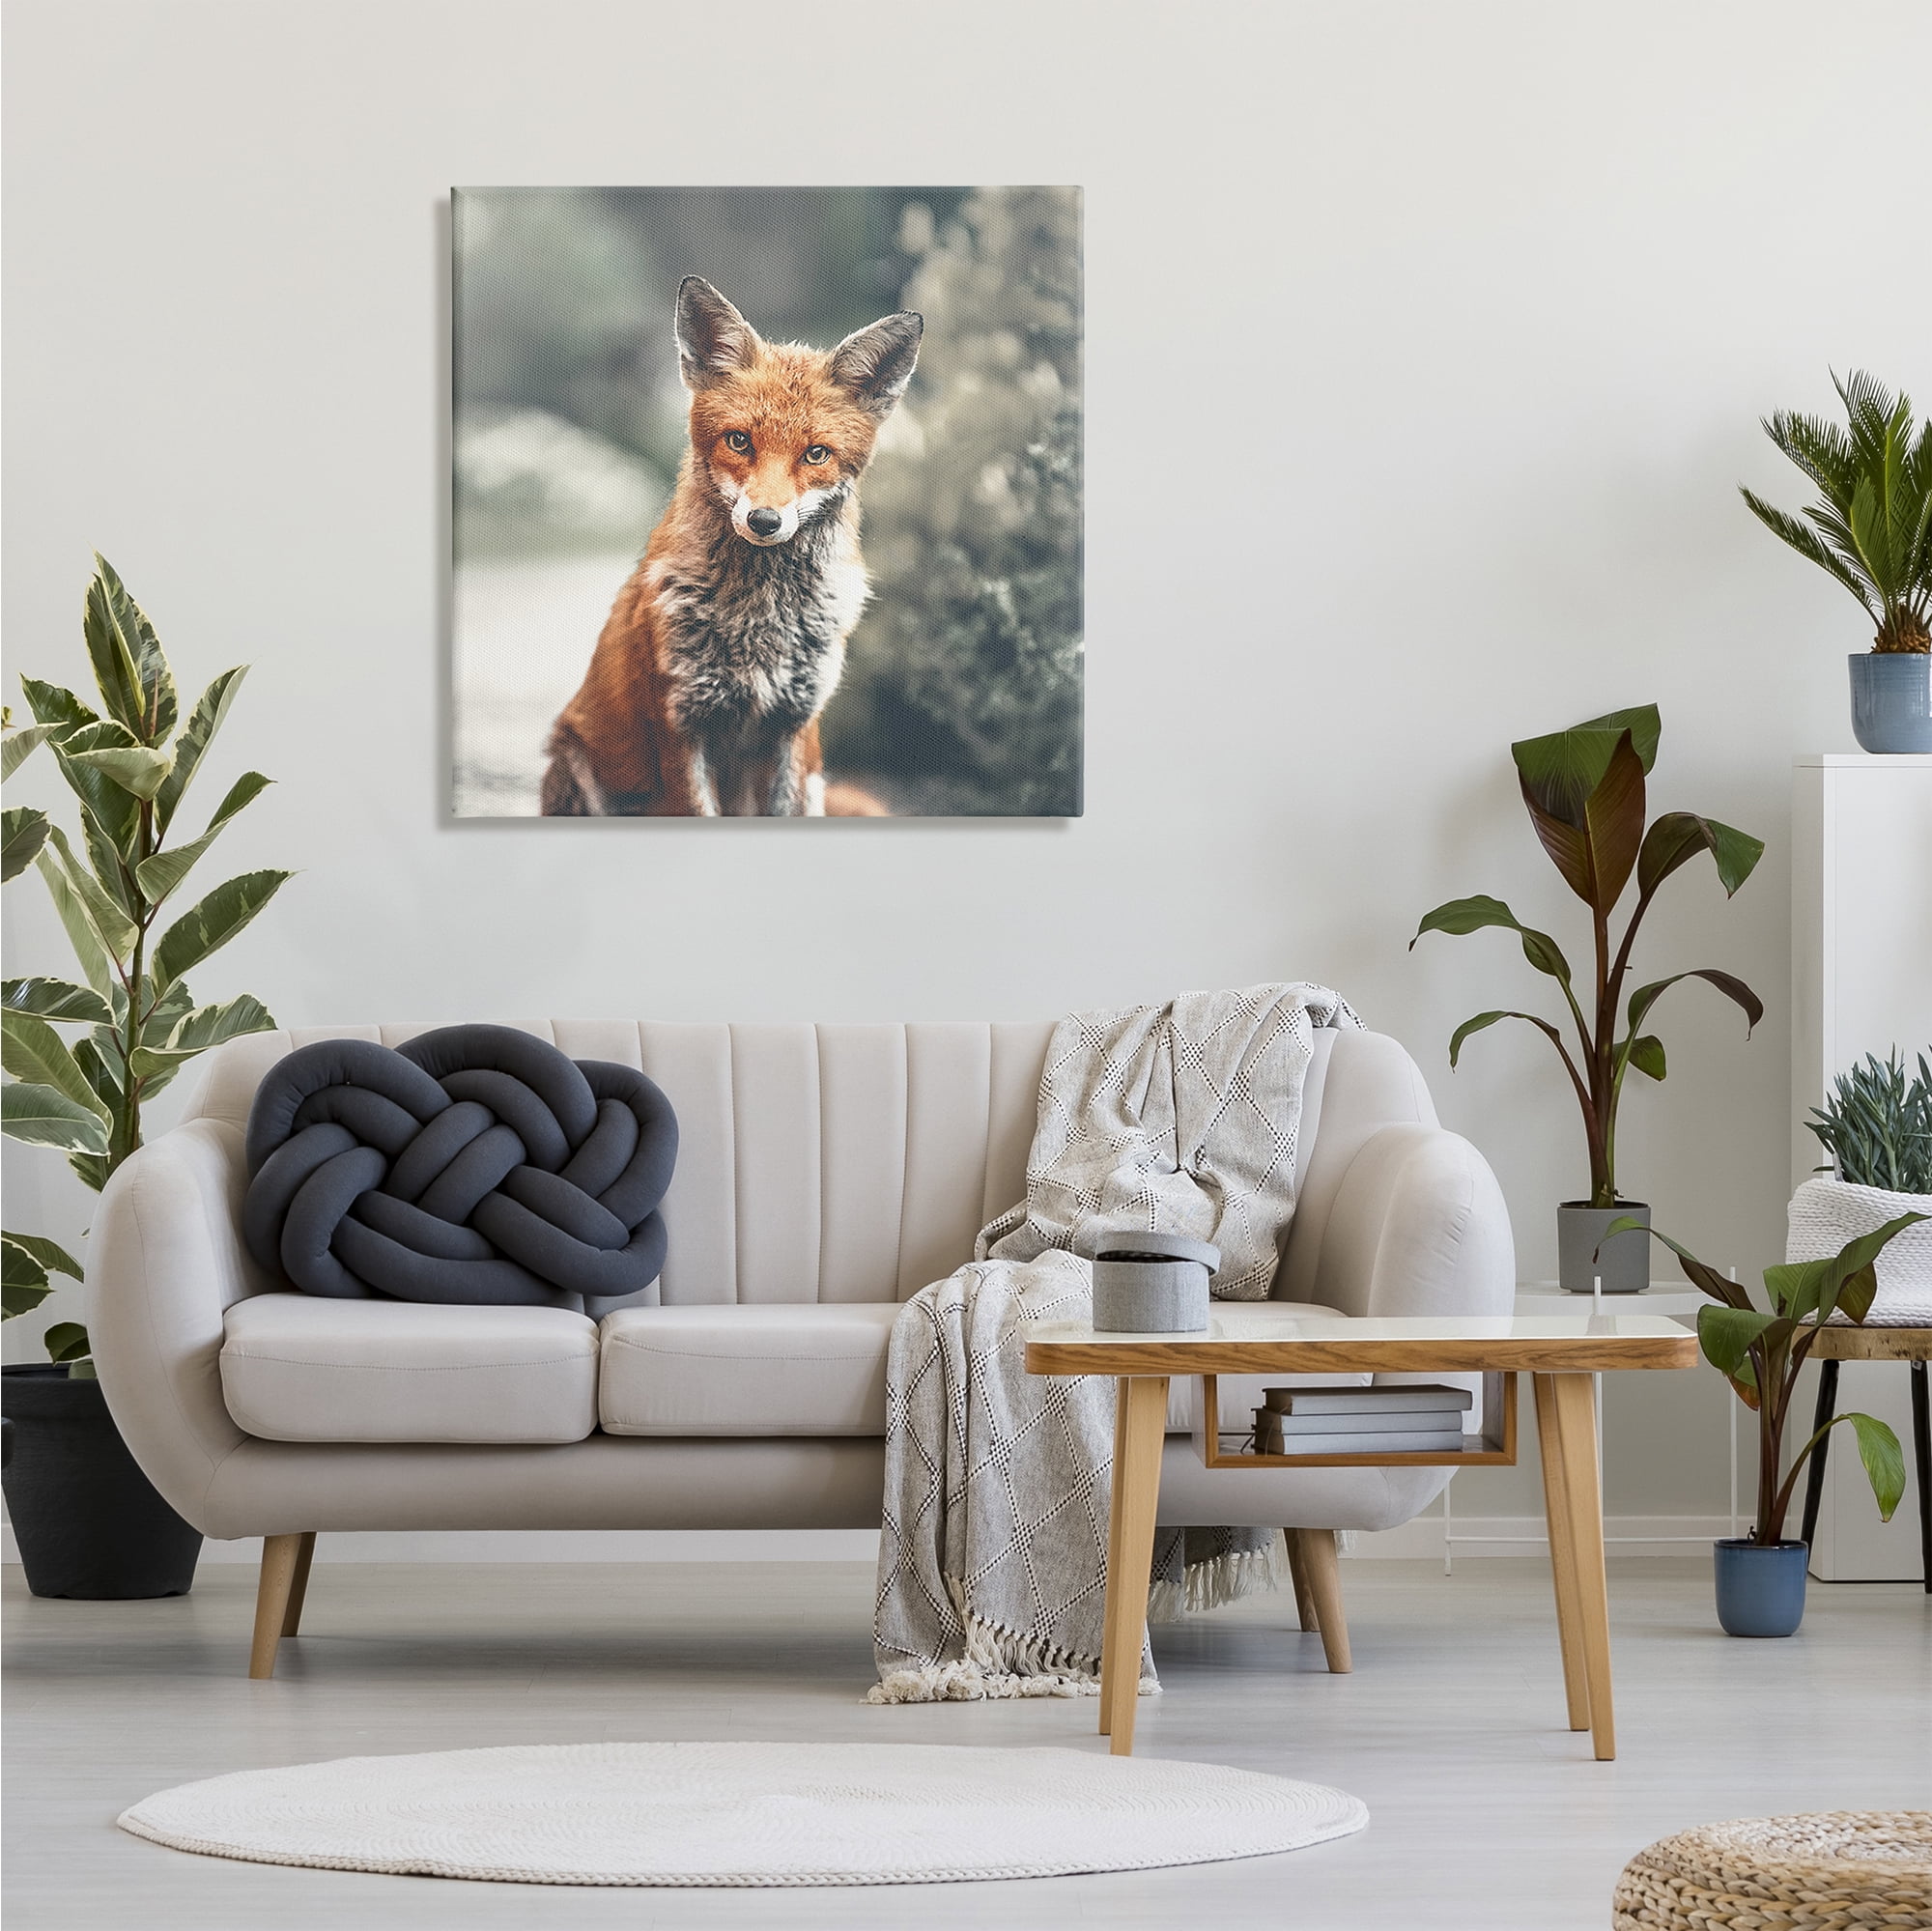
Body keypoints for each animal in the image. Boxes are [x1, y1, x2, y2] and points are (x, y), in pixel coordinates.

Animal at [540, 276, 920, 817]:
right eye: (739, 441)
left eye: (816, 454)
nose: (764, 520)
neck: (761, 616)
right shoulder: (681, 721)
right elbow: (696, 806)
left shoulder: (795, 722)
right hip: (576, 764)